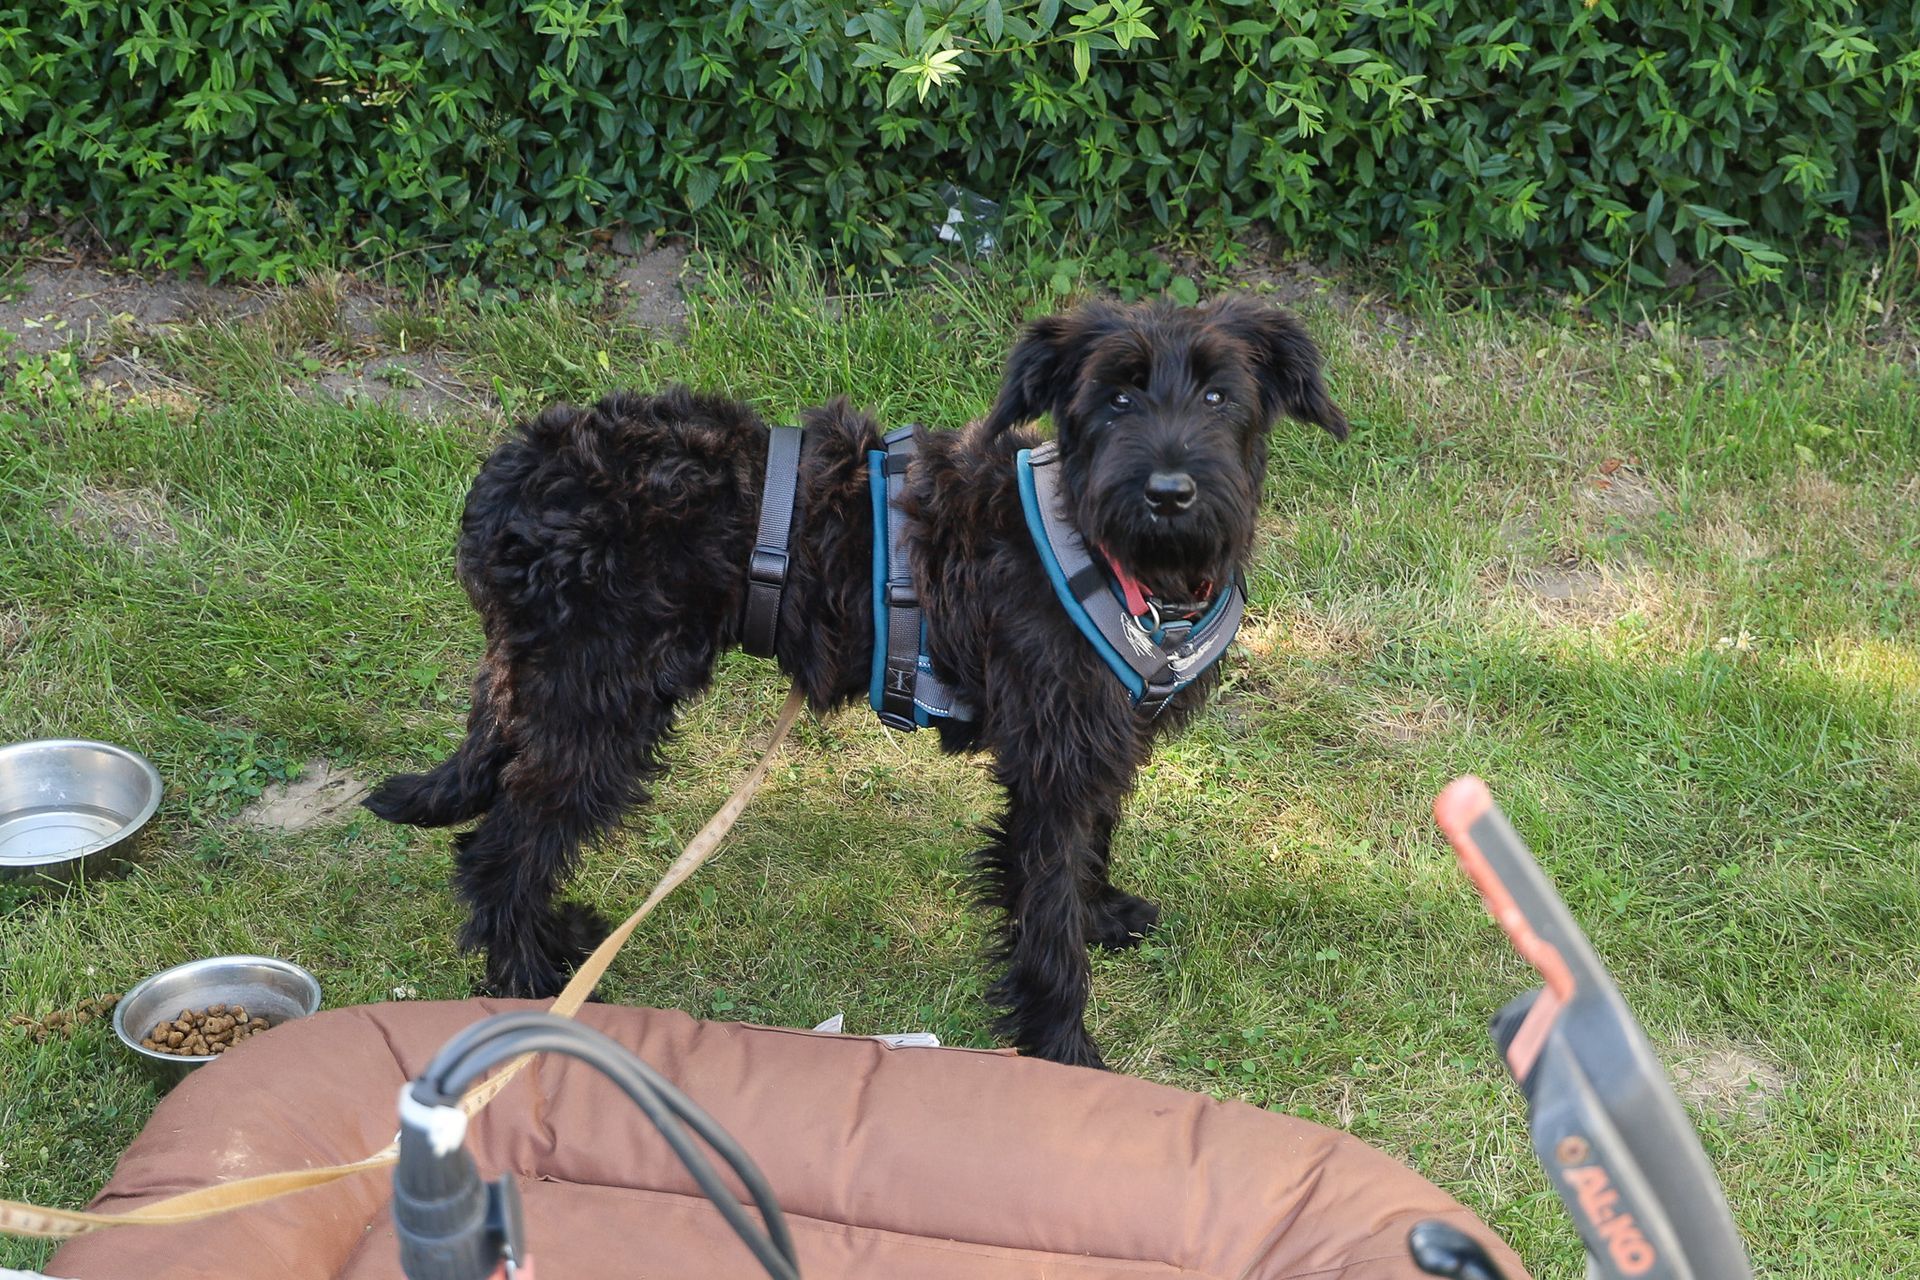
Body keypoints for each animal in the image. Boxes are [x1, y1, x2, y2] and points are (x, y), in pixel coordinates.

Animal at [366, 296, 1347, 1067]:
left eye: (1220, 395)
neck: (1121, 560)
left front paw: (1102, 913)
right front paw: (1064, 1051)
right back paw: (534, 985)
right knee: (501, 850)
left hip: (545, 690)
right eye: (1116, 396)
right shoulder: (1051, 764)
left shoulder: (1101, 741)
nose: (1170, 491)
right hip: (599, 707)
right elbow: (1045, 914)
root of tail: (511, 475)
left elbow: (1091, 851)